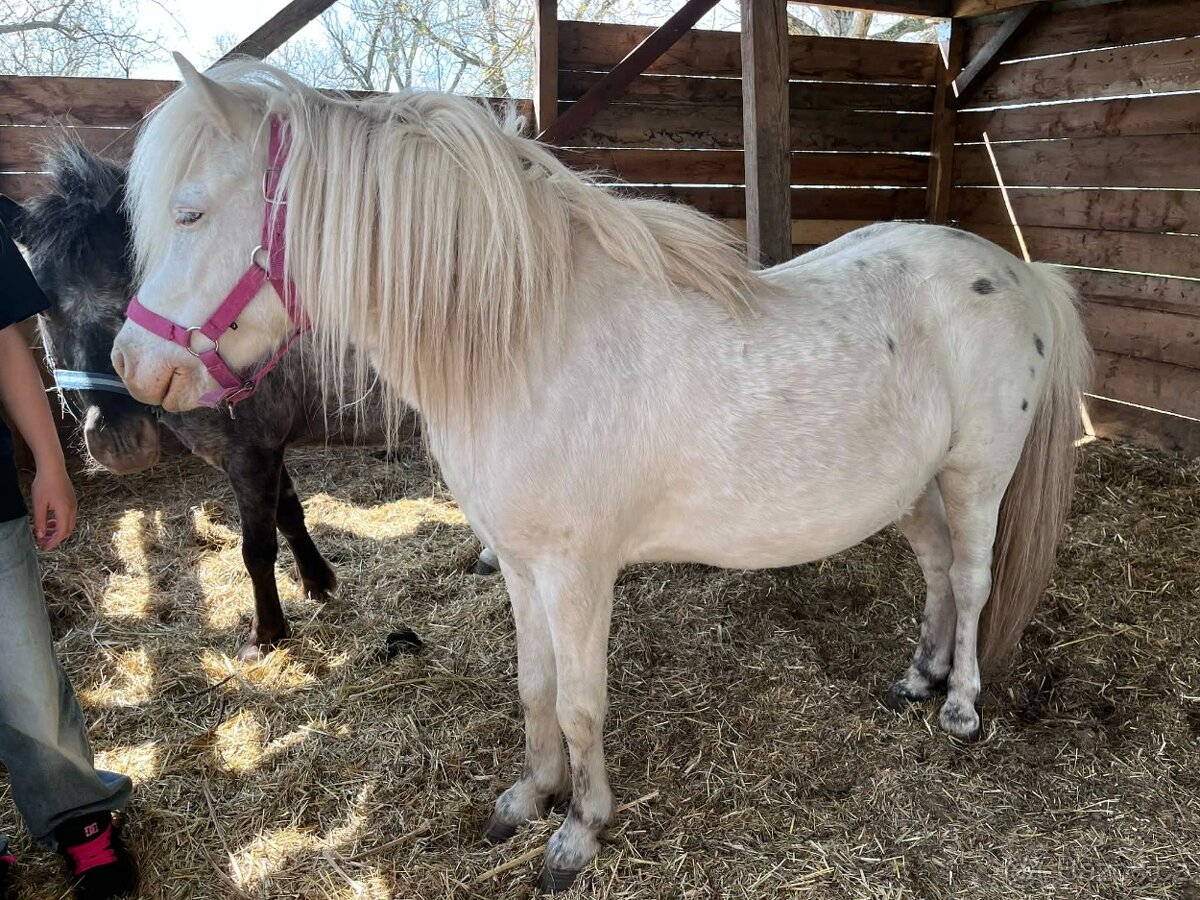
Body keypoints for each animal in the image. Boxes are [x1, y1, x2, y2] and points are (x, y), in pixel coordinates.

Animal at [0, 142, 498, 662]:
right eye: (44, 308)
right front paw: (317, 583)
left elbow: (257, 548)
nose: (119, 442)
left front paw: (267, 634)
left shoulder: (249, 453)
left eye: (128, 292)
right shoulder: (266, 447)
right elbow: (290, 514)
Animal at [111, 57, 1091, 891]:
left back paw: (959, 704)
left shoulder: (579, 576)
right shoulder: (518, 566)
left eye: (191, 213)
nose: (129, 367)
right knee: (935, 573)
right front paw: (528, 797)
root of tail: (1018, 272)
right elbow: (534, 688)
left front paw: (580, 830)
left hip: (976, 477)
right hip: (910, 488)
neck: (529, 339)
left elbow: (582, 705)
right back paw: (920, 676)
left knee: (972, 580)